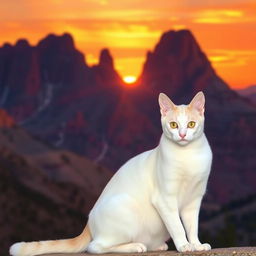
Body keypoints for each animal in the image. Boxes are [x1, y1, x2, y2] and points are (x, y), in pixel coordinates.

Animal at [9, 91, 212, 255]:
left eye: (191, 124)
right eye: (174, 125)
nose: (183, 135)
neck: (188, 157)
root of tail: (89, 221)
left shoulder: (194, 200)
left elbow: (191, 226)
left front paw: (196, 244)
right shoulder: (165, 199)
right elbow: (178, 227)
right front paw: (184, 245)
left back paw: (156, 245)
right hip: (125, 207)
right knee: (95, 247)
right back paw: (135, 246)